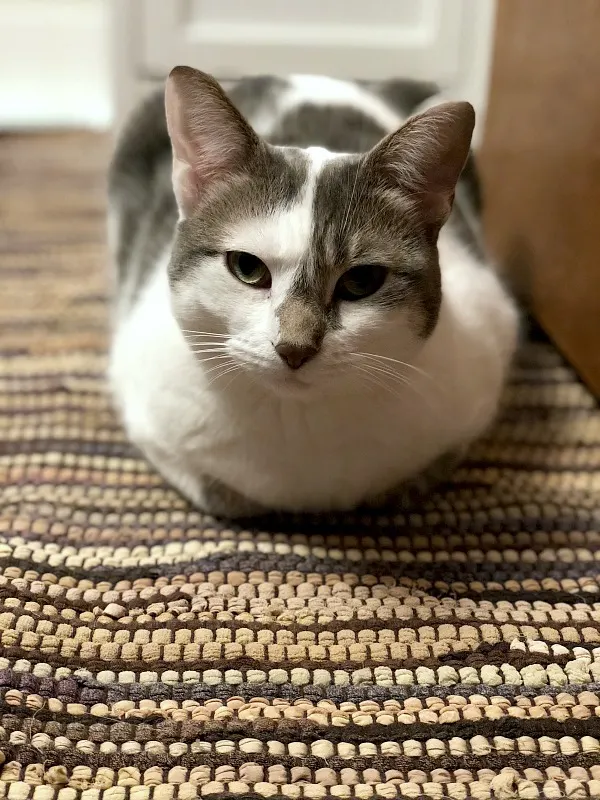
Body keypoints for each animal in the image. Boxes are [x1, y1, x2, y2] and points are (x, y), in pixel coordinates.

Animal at [109, 69, 520, 520]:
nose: (294, 348)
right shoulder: (145, 410)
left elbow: (420, 475)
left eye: (362, 281)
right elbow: (218, 492)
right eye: (247, 267)